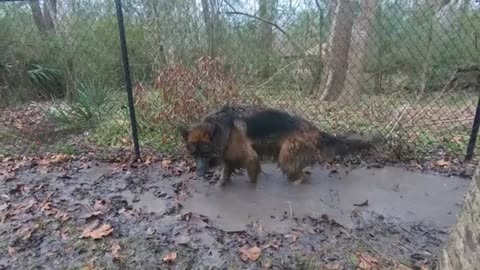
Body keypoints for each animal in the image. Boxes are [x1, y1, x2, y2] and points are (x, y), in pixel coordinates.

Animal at [180, 105, 382, 186]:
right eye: (194, 154)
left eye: (205, 153)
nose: (199, 174)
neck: (223, 127)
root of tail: (315, 130)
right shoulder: (228, 158)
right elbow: (224, 176)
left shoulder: (251, 159)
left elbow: (251, 179)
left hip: (286, 159)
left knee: (301, 177)